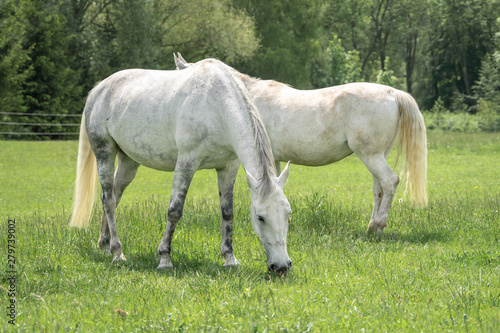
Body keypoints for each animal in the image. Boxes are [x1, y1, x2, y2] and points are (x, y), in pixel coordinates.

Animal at [72, 59, 294, 272]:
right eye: (260, 217)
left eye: (287, 213)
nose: (281, 266)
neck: (216, 105)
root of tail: (98, 90)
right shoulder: (186, 163)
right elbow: (175, 210)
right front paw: (164, 259)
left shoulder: (228, 167)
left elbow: (227, 212)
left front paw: (229, 258)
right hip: (104, 152)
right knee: (108, 199)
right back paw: (118, 252)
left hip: (129, 161)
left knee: (115, 195)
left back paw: (105, 244)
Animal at [175, 52, 426, 233]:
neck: (244, 100)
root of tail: (393, 92)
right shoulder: (274, 159)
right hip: (377, 155)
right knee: (379, 188)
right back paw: (373, 226)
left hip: (371, 156)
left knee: (390, 181)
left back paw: (379, 224)